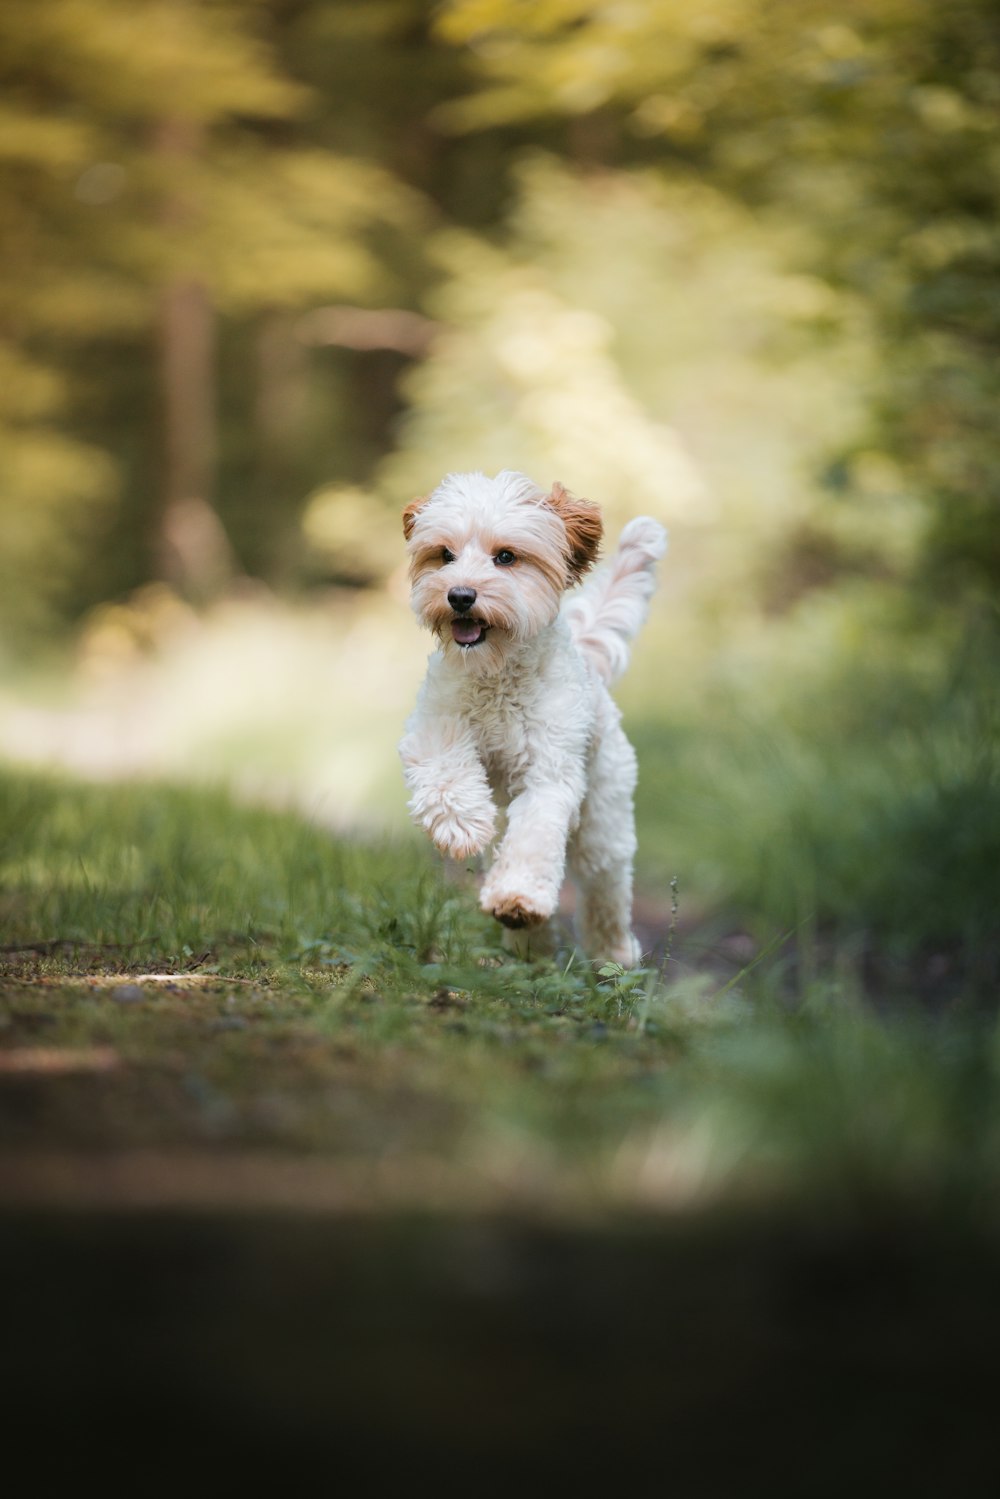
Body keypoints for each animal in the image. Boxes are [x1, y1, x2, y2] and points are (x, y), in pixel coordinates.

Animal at [395, 467, 665, 965]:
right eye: (445, 555)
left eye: (506, 557)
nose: (460, 595)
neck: (497, 673)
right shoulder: (434, 725)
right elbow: (444, 775)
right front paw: (461, 829)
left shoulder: (550, 773)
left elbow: (536, 834)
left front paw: (518, 897)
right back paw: (528, 946)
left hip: (603, 818)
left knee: (605, 885)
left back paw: (613, 953)